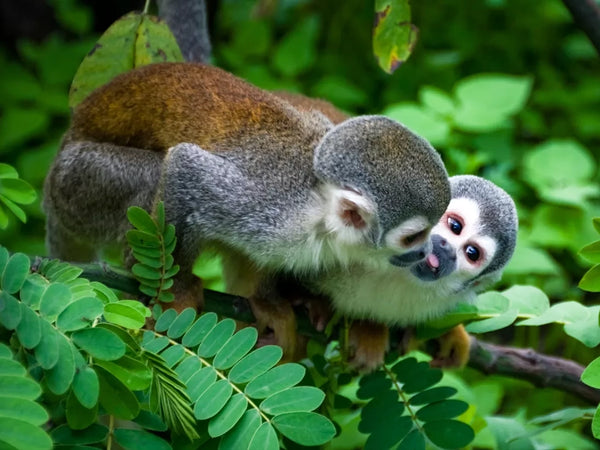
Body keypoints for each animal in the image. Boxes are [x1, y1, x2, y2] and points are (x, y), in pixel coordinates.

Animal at [44, 62, 450, 356]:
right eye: (414, 236)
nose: (427, 254)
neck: (317, 208)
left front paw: (270, 300)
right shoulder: (272, 209)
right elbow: (186, 166)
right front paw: (176, 290)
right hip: (80, 182)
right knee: (153, 174)